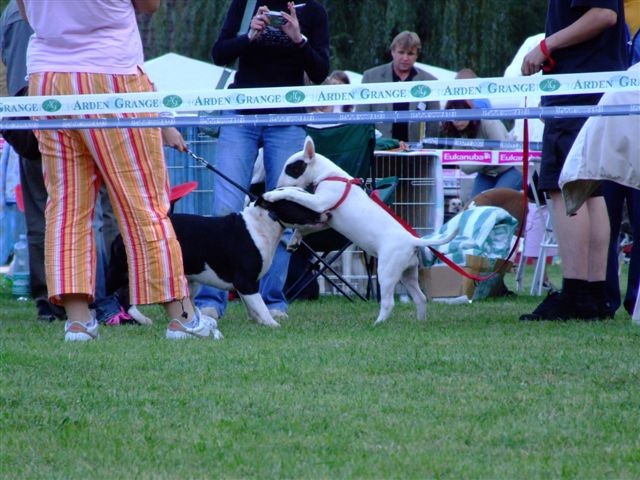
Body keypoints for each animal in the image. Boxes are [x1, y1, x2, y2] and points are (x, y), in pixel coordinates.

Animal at [107, 193, 328, 328]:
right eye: (299, 202)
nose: (324, 212)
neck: (263, 222)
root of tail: (119, 236)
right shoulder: (246, 281)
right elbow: (260, 305)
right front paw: (271, 323)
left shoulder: (244, 284)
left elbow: (252, 306)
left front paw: (257, 321)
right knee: (121, 294)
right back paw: (140, 318)